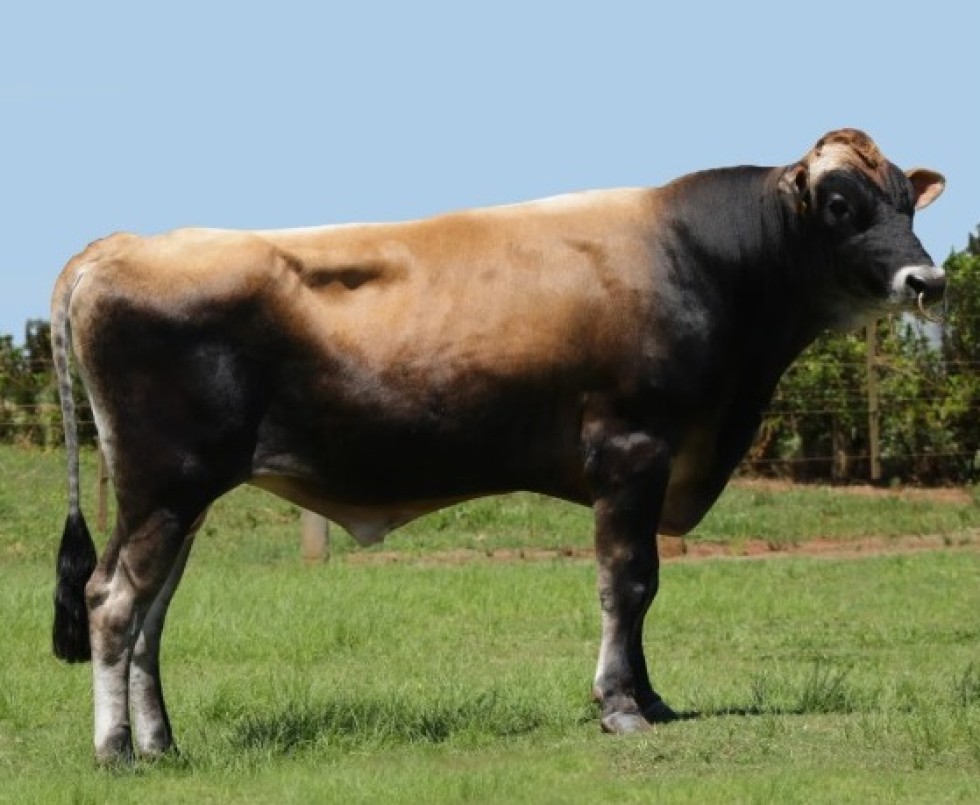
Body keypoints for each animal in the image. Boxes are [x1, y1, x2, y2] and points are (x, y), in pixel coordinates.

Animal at [51, 129, 946, 763]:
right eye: (840, 204)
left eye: (908, 202)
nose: (927, 282)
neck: (704, 260)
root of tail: (117, 247)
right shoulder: (632, 448)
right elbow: (627, 582)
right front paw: (621, 706)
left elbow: (646, 588)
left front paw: (652, 698)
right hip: (164, 487)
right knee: (112, 602)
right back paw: (116, 752)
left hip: (179, 497)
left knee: (150, 614)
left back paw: (162, 745)